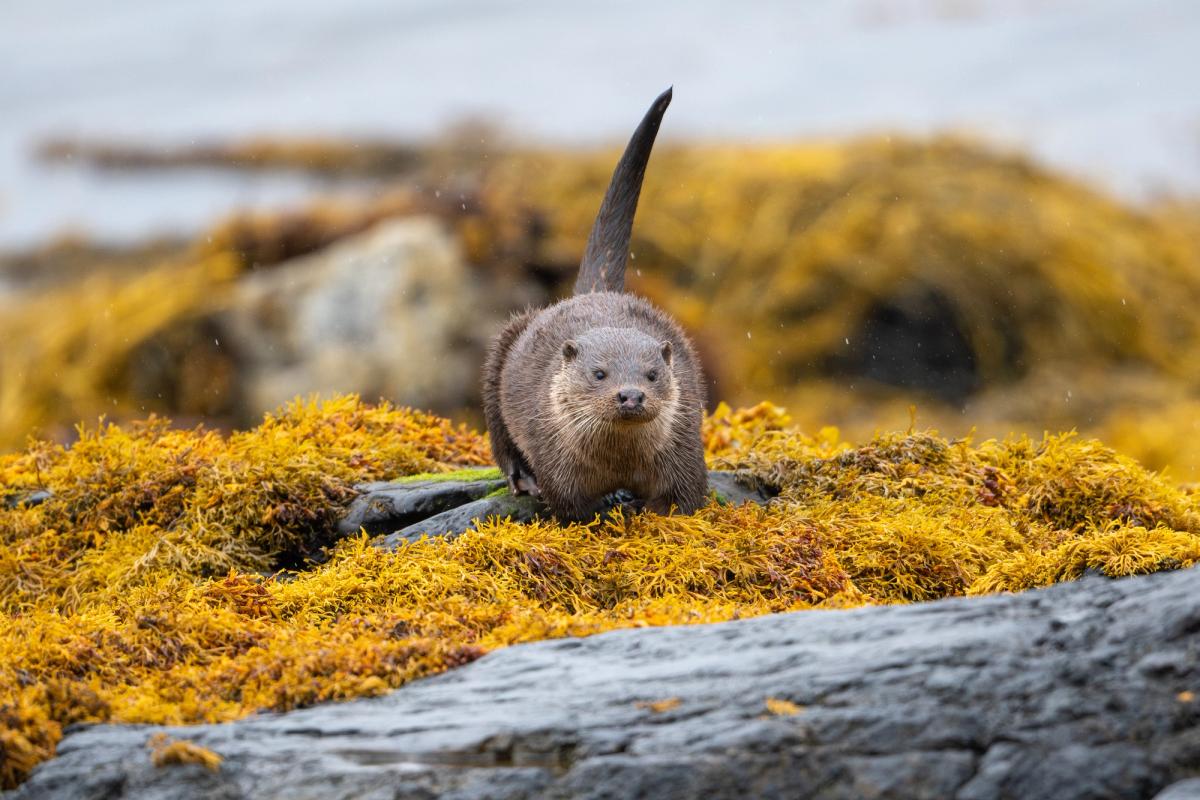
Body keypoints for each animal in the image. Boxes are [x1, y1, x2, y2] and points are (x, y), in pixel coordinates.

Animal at [482, 87, 705, 520]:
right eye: (599, 374)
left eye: (652, 374)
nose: (631, 394)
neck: (620, 463)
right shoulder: (556, 462)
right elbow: (573, 508)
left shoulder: (684, 448)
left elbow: (685, 502)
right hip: (501, 352)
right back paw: (523, 479)